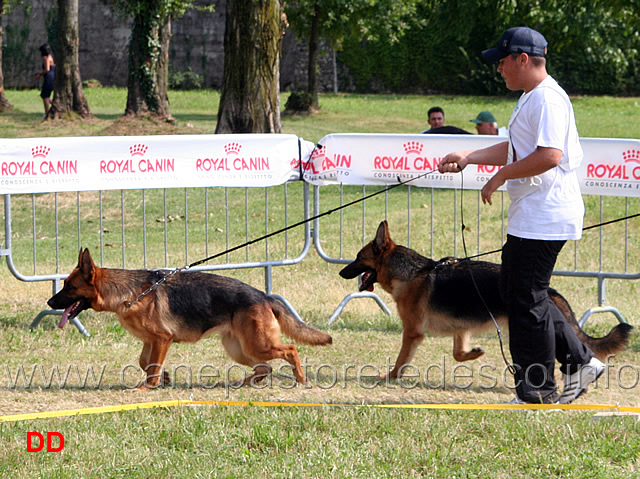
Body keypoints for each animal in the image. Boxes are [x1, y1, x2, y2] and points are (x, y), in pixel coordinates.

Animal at [47, 249, 332, 392]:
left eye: (69, 287)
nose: (49, 303)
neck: (129, 293)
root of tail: (264, 296)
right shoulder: (151, 341)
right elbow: (145, 362)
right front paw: (163, 378)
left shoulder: (162, 339)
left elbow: (151, 366)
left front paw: (147, 388)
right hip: (239, 348)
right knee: (265, 368)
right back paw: (243, 383)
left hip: (258, 344)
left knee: (290, 350)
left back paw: (301, 379)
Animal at [340, 222, 632, 382]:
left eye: (358, 258)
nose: (341, 272)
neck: (413, 274)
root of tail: (549, 291)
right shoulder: (462, 328)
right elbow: (458, 354)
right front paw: (474, 353)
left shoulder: (412, 333)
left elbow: (401, 359)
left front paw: (390, 376)